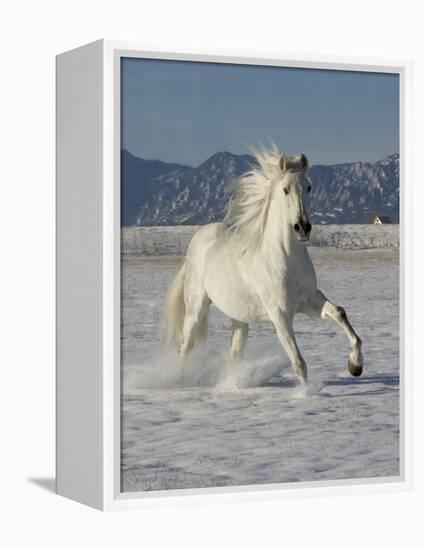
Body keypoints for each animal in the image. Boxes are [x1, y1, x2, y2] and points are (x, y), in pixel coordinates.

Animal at [162, 149, 364, 386]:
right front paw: (307, 392)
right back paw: (180, 380)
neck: (287, 259)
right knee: (185, 345)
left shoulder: (310, 301)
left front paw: (355, 366)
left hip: (238, 316)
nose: (302, 228)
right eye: (285, 189)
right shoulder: (280, 315)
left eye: (308, 187)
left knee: (234, 352)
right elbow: (299, 364)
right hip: (196, 307)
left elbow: (339, 313)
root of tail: (197, 241)